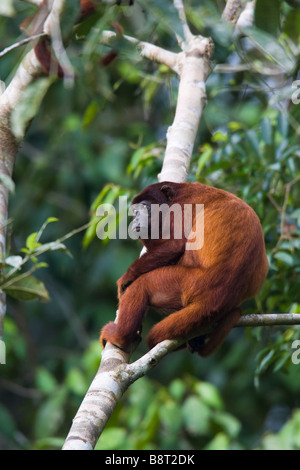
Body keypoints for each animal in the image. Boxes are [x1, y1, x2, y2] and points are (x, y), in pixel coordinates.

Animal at [99, 181, 268, 356]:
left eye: (145, 207)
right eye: (134, 211)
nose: (136, 218)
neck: (178, 192)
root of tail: (225, 291)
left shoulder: (181, 206)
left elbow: (174, 245)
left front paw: (126, 278)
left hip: (190, 282)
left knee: (141, 286)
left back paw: (120, 337)